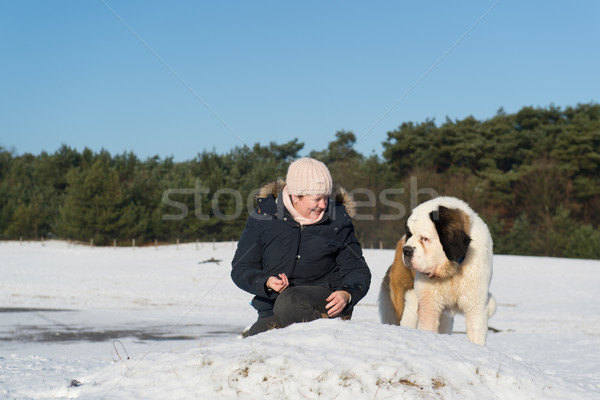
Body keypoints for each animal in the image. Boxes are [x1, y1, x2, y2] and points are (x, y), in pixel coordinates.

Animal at [380, 196, 496, 344]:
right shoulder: (429, 304)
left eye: (424, 239)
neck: (451, 270)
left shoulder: (476, 305)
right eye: (409, 235)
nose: (406, 250)